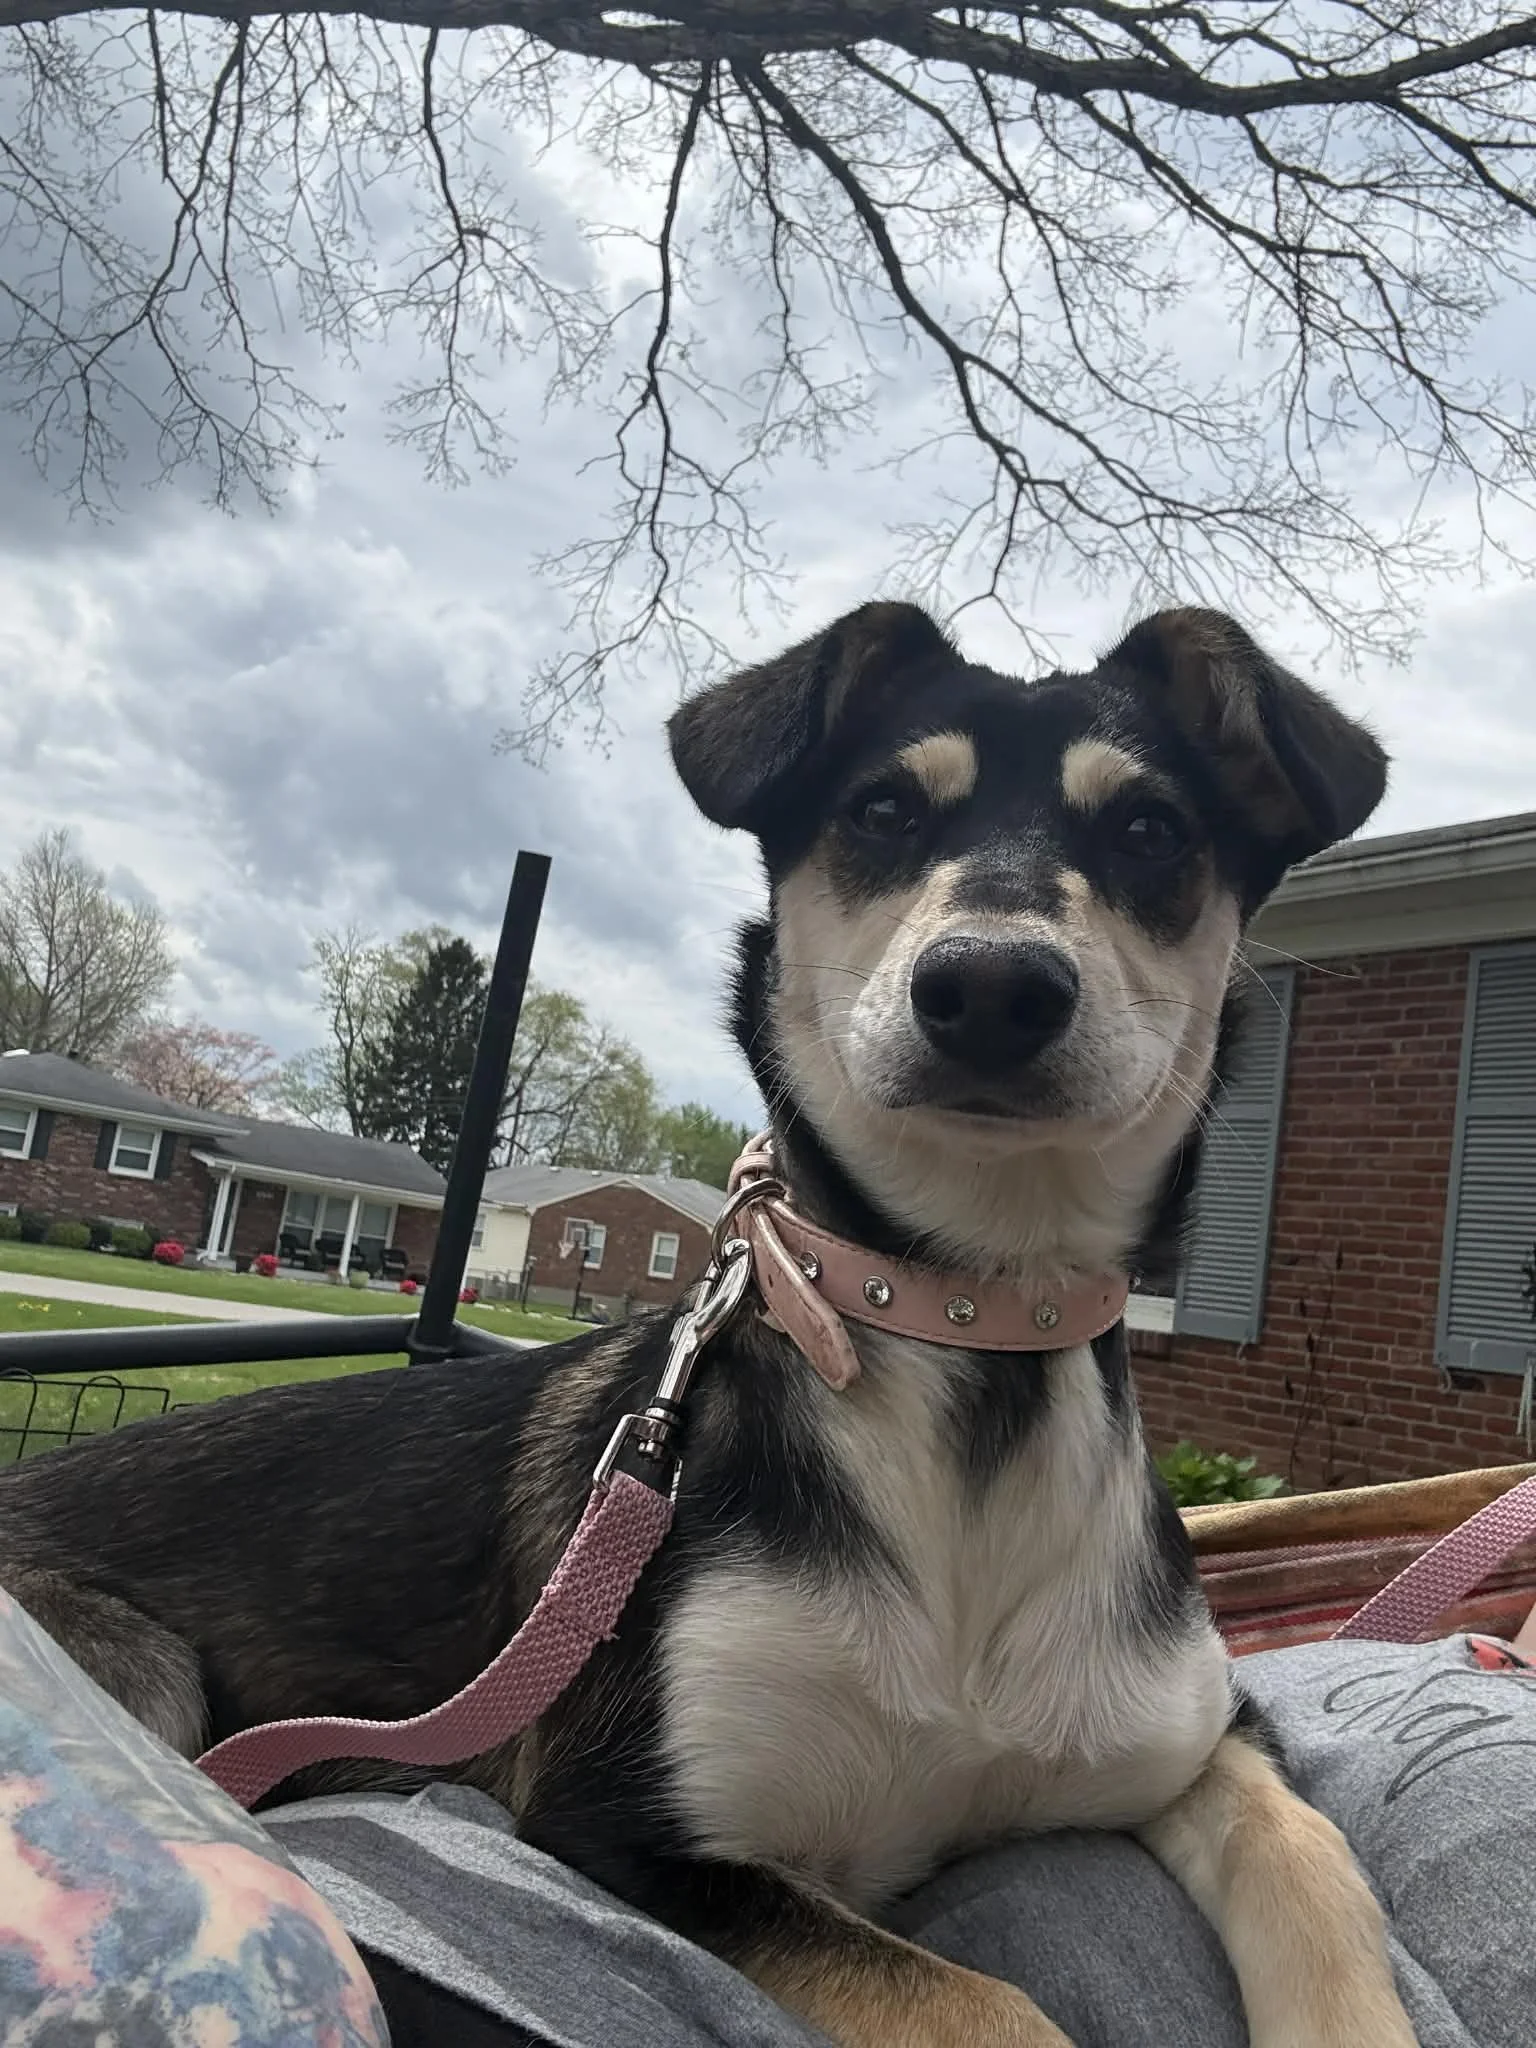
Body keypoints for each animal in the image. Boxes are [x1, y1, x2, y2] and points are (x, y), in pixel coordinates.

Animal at [0, 601, 1417, 2048]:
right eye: (884, 808)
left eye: (1149, 829)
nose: (993, 987)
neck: (970, 1315)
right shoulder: (628, 1823)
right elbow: (985, 2004)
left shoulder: (1204, 1737)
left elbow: (1311, 1856)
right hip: (138, 1671)